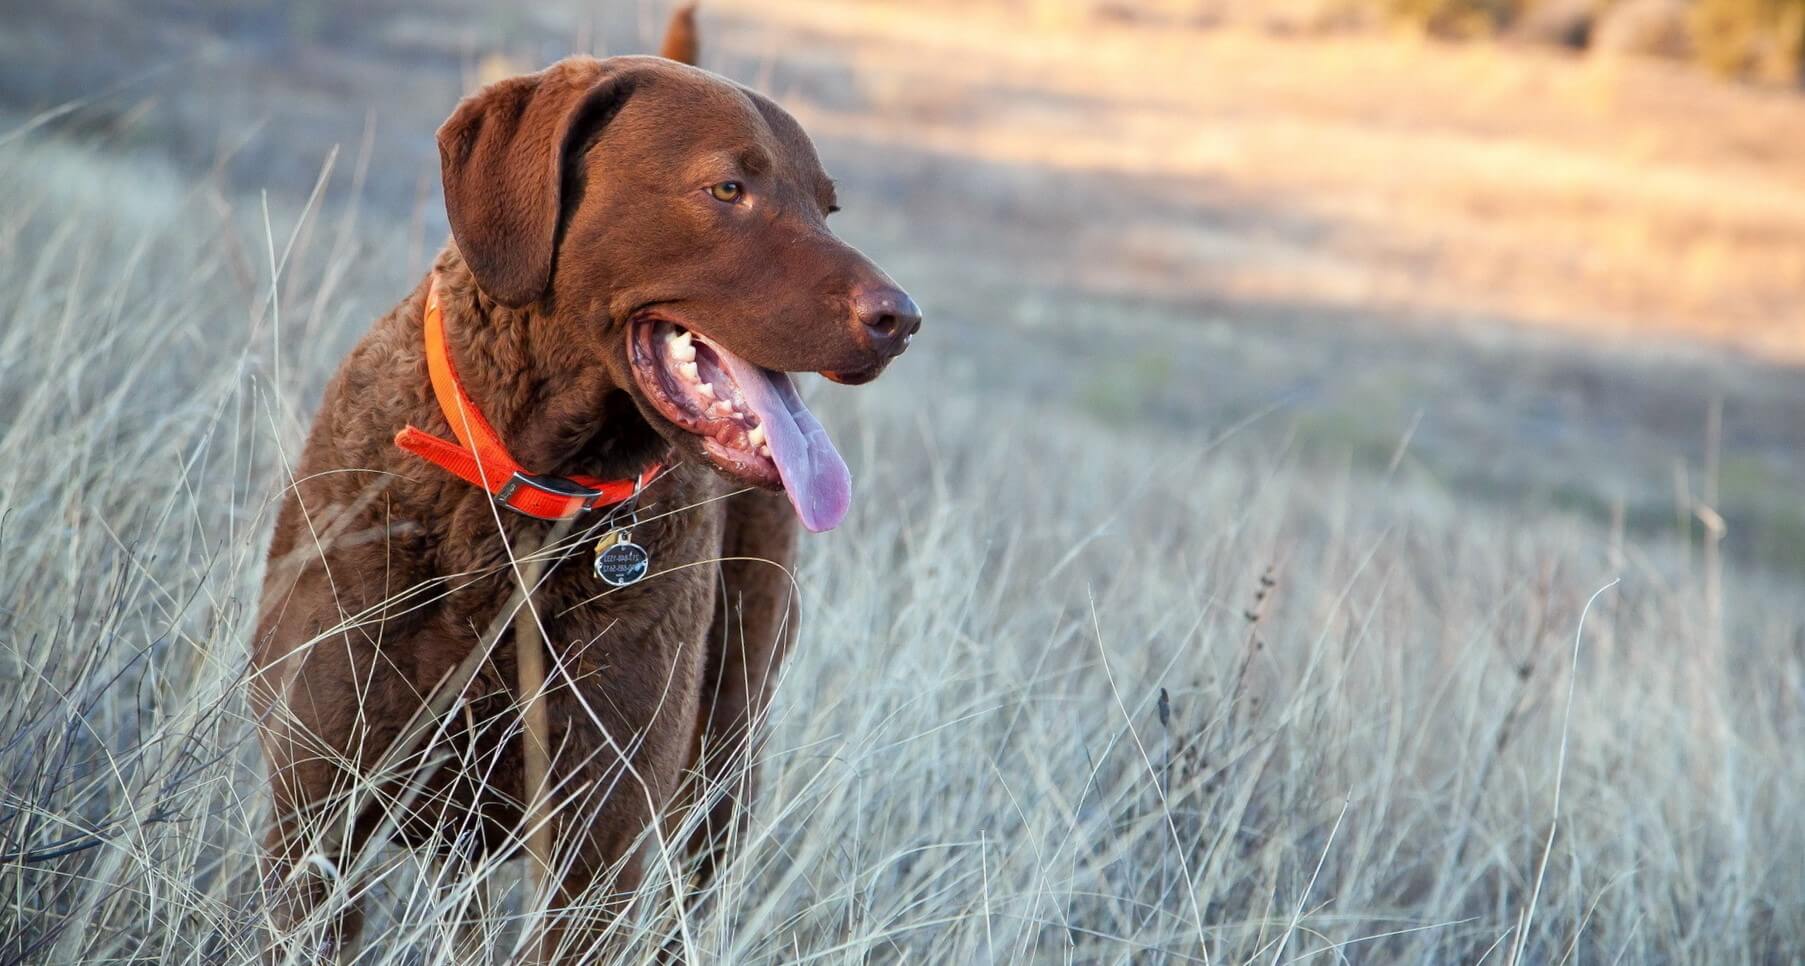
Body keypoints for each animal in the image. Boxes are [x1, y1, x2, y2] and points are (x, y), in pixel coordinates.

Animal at [250, 13, 916, 953]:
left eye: (824, 207)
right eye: (727, 189)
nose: (901, 319)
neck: (527, 495)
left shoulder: (597, 854)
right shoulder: (315, 817)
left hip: (723, 760)